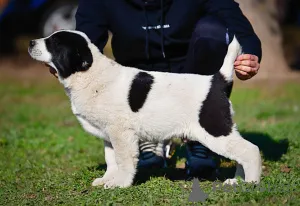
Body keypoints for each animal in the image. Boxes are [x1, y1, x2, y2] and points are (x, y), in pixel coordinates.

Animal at [29, 29, 262, 189]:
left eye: (54, 43)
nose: (31, 42)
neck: (90, 74)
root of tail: (217, 81)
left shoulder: (121, 134)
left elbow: (123, 161)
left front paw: (120, 183)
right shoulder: (109, 136)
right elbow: (111, 160)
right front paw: (107, 179)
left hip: (214, 130)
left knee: (250, 150)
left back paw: (251, 183)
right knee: (241, 152)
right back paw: (237, 180)